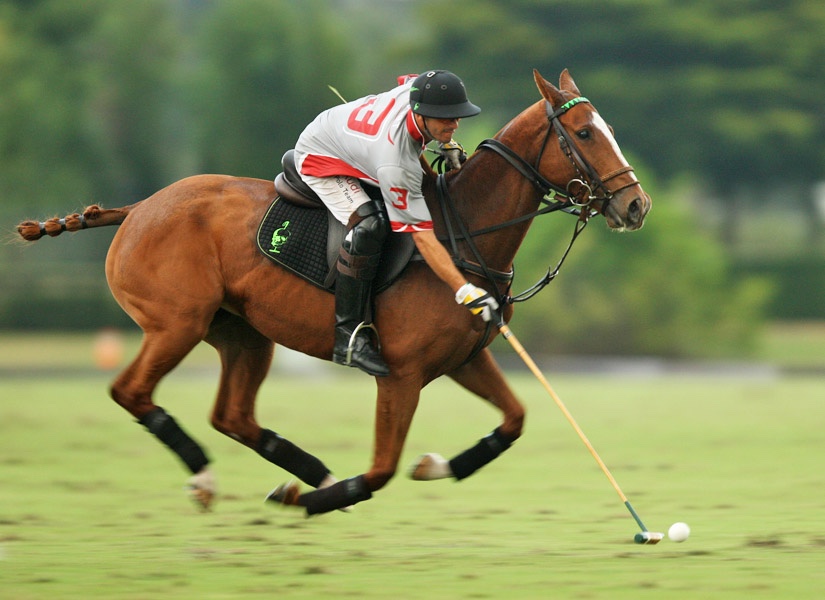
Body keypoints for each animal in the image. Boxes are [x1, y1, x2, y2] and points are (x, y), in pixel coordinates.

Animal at [16, 70, 652, 516]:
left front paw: (432, 466)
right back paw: (210, 478)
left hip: (243, 332)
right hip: (176, 324)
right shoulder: (401, 374)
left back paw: (308, 472)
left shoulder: (464, 358)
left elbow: (514, 420)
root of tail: (138, 208)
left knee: (232, 415)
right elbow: (378, 471)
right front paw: (313, 501)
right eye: (585, 133)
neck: (464, 231)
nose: (635, 206)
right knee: (131, 391)